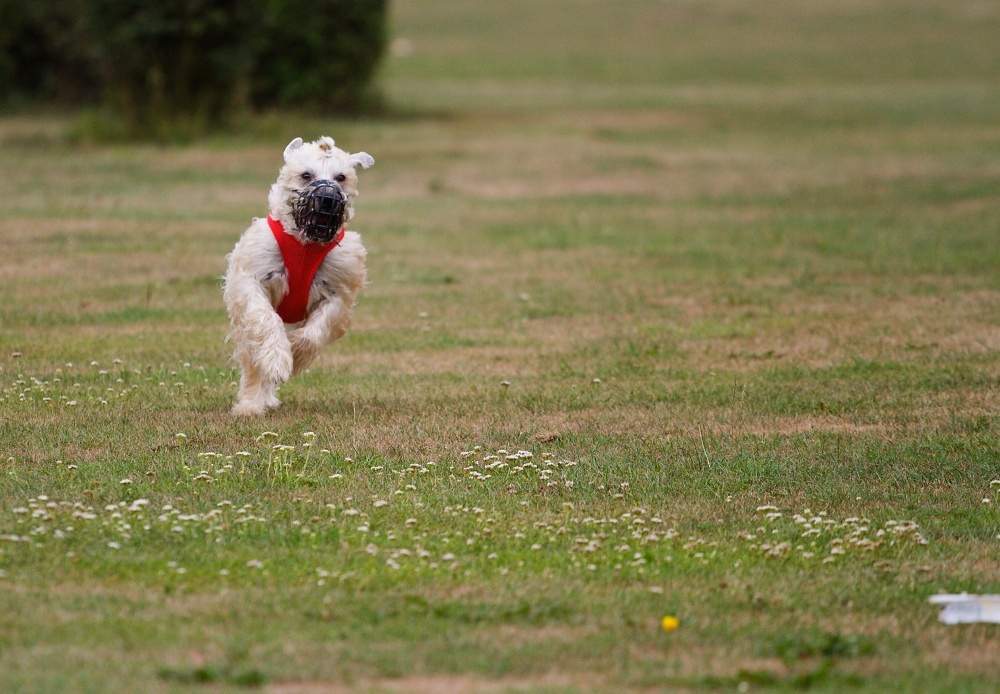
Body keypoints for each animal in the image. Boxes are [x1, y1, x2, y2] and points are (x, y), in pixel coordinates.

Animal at [221, 137, 374, 418]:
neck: (306, 244)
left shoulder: (338, 291)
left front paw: (294, 351)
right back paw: (251, 404)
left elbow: (313, 332)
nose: (328, 198)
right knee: (253, 363)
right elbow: (266, 318)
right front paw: (278, 359)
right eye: (306, 175)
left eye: (341, 177)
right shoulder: (252, 280)